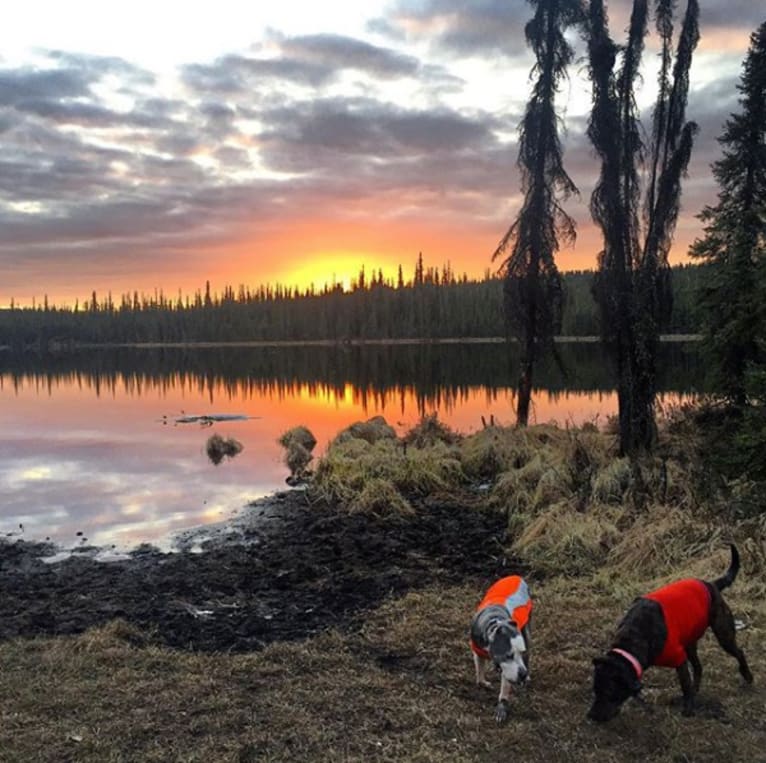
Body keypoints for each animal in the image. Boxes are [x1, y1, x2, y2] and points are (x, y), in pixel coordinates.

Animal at [468, 580, 536, 724]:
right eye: (509, 655)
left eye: (521, 652)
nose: (523, 674)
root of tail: (516, 576)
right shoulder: (478, 653)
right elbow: (479, 671)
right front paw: (482, 682)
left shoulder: (509, 668)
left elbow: (505, 687)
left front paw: (501, 707)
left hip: (527, 630)